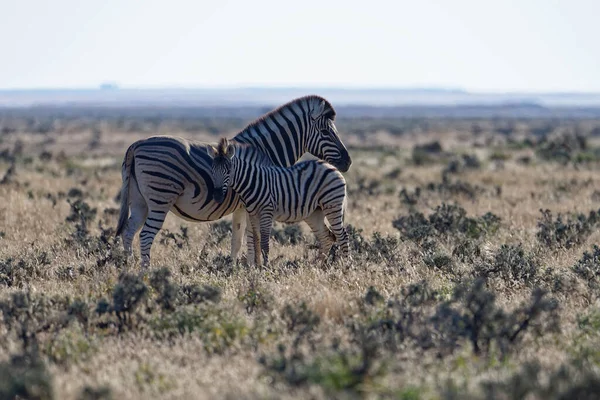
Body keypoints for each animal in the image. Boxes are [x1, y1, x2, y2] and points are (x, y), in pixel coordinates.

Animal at [206, 138, 350, 266]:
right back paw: (316, 266)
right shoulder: (253, 214)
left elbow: (264, 242)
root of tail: (331, 166)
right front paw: (256, 267)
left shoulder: (267, 212)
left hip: (332, 204)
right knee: (327, 238)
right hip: (315, 212)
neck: (252, 182)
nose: (217, 196)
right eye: (212, 170)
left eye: (228, 171)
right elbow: (256, 240)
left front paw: (265, 267)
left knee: (343, 236)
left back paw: (346, 266)